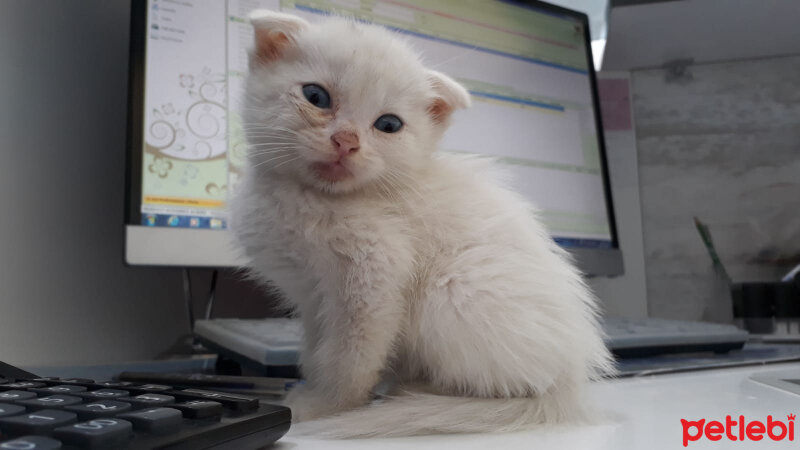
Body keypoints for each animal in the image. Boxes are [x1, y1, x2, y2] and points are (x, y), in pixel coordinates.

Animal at [228, 11, 616, 440]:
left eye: (389, 124)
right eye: (316, 97)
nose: (346, 141)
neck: (313, 199)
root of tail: (571, 383)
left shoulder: (376, 274)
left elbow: (350, 355)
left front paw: (326, 406)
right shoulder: (313, 297)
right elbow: (318, 349)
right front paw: (313, 385)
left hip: (452, 289)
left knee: (508, 387)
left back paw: (417, 393)